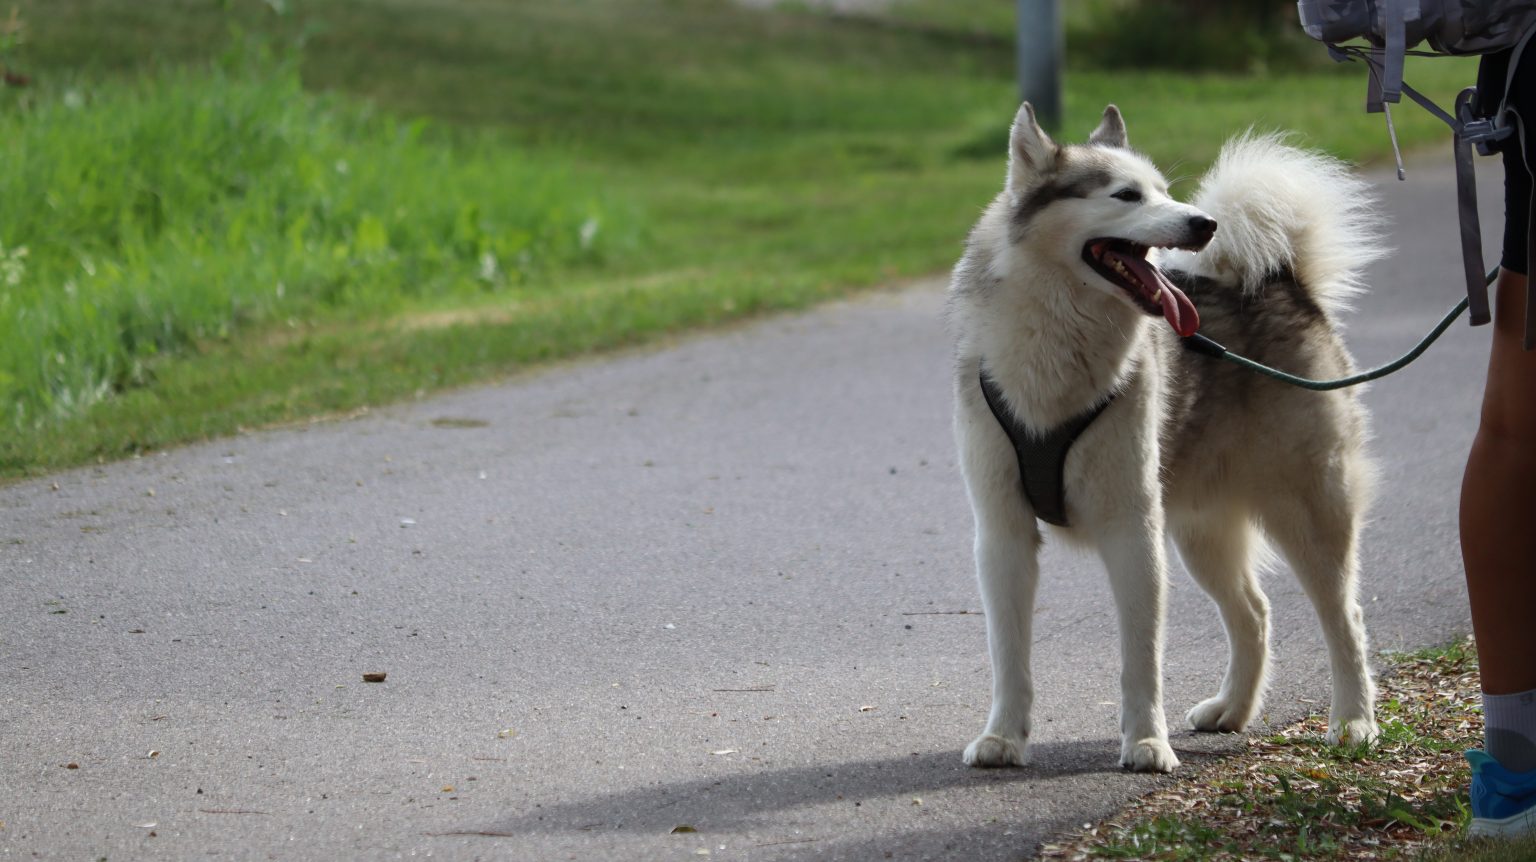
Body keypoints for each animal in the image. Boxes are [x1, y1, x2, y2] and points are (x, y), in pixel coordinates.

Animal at [946, 102, 1382, 772]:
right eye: (1126, 195)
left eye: (1164, 191)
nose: (1204, 223)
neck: (1057, 348)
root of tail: (1280, 281)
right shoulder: (1002, 534)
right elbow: (1009, 654)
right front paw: (1003, 737)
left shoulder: (1133, 532)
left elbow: (1141, 657)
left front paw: (1147, 743)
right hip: (1202, 532)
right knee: (1254, 612)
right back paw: (1232, 709)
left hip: (1307, 513)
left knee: (1346, 618)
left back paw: (1355, 721)